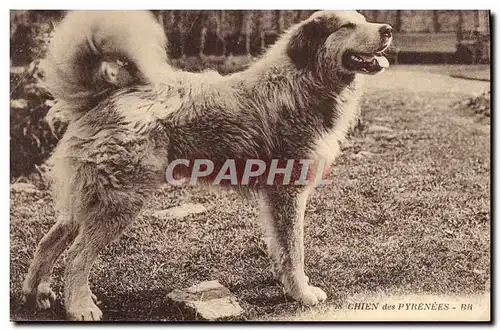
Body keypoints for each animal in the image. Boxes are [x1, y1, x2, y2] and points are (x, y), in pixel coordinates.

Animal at [22, 9, 390, 322]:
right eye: (347, 26)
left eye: (363, 20)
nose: (387, 30)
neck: (303, 78)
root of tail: (107, 95)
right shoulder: (288, 193)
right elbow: (294, 250)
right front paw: (301, 293)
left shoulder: (274, 199)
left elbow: (280, 246)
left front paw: (284, 282)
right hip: (121, 202)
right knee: (77, 257)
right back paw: (79, 307)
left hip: (91, 199)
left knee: (49, 240)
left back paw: (37, 294)